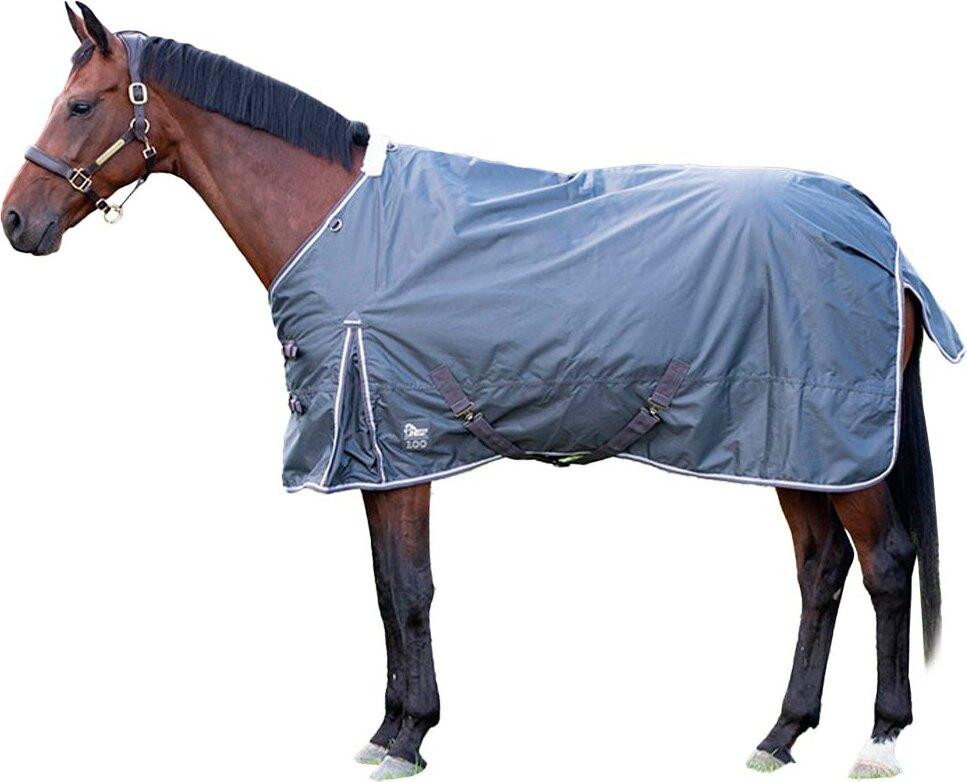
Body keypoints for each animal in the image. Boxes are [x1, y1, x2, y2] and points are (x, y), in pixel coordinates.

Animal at [2, 5, 958, 780]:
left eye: (80, 105)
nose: (18, 222)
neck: (338, 228)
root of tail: (872, 224)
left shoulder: (401, 445)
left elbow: (411, 589)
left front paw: (410, 737)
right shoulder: (379, 456)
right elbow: (385, 588)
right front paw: (388, 730)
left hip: (839, 447)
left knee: (883, 563)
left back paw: (879, 739)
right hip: (792, 446)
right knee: (819, 570)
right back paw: (780, 734)